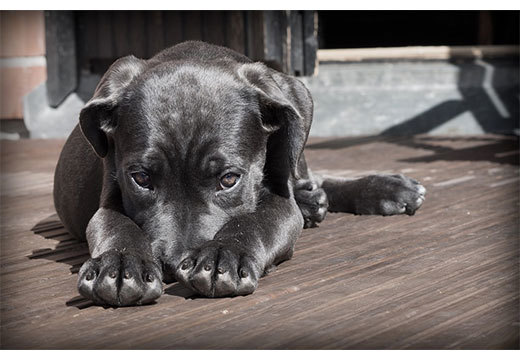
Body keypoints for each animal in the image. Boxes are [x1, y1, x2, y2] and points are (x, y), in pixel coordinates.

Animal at [53, 42, 426, 306]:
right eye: (141, 179)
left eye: (229, 179)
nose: (173, 265)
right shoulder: (109, 196)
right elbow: (115, 225)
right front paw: (119, 264)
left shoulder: (280, 202)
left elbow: (255, 220)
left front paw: (223, 255)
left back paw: (383, 189)